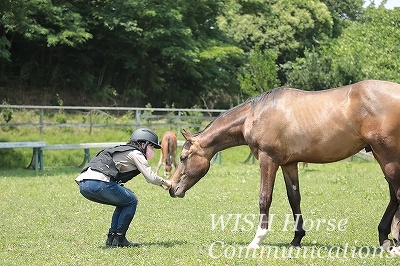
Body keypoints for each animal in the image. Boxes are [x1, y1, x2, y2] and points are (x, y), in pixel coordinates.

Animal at [170, 79, 400, 256]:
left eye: (183, 157)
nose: (172, 188)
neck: (256, 113)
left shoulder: (268, 159)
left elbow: (265, 197)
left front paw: (257, 240)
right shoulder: (289, 164)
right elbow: (294, 198)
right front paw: (297, 239)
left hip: (386, 156)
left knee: (396, 193)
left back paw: (392, 242)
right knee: (393, 196)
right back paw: (387, 238)